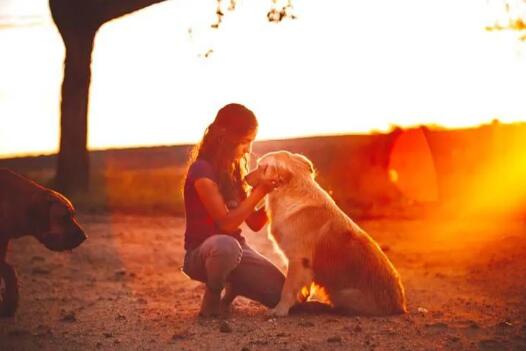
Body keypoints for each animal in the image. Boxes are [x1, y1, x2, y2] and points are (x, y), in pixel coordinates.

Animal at [246, 153, 408, 318]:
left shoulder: (298, 260)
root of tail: (400, 307)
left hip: (342, 293)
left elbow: (287, 289)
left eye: (260, 167)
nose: (245, 178)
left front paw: (280, 310)